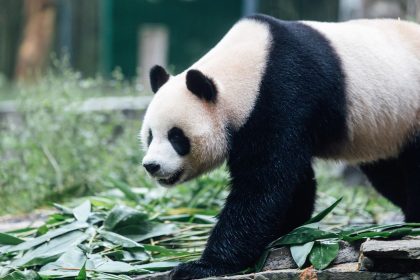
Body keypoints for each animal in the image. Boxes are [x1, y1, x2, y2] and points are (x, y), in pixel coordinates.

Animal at [141, 14, 420, 278]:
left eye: (177, 137)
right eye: (150, 135)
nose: (151, 166)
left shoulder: (285, 93)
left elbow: (263, 185)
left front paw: (202, 266)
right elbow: (294, 183)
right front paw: (287, 231)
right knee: (387, 175)